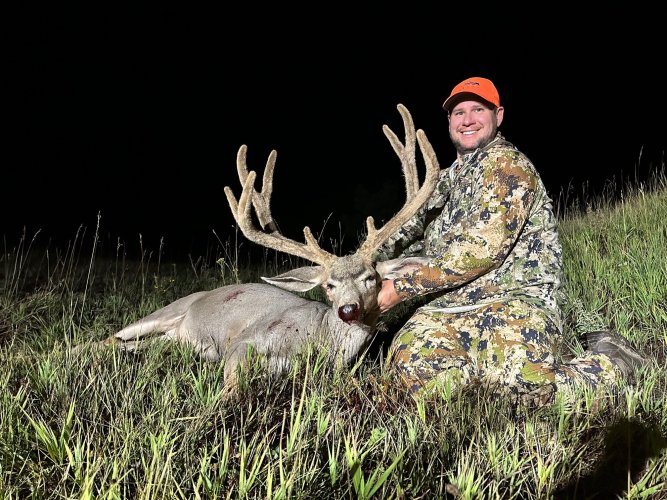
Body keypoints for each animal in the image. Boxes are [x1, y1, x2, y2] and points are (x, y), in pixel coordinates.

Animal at [99, 104, 440, 394]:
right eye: (329, 286)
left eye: (370, 278)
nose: (348, 310)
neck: (319, 341)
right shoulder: (243, 343)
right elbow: (231, 388)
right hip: (164, 312)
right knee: (106, 339)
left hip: (164, 337)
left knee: (133, 344)